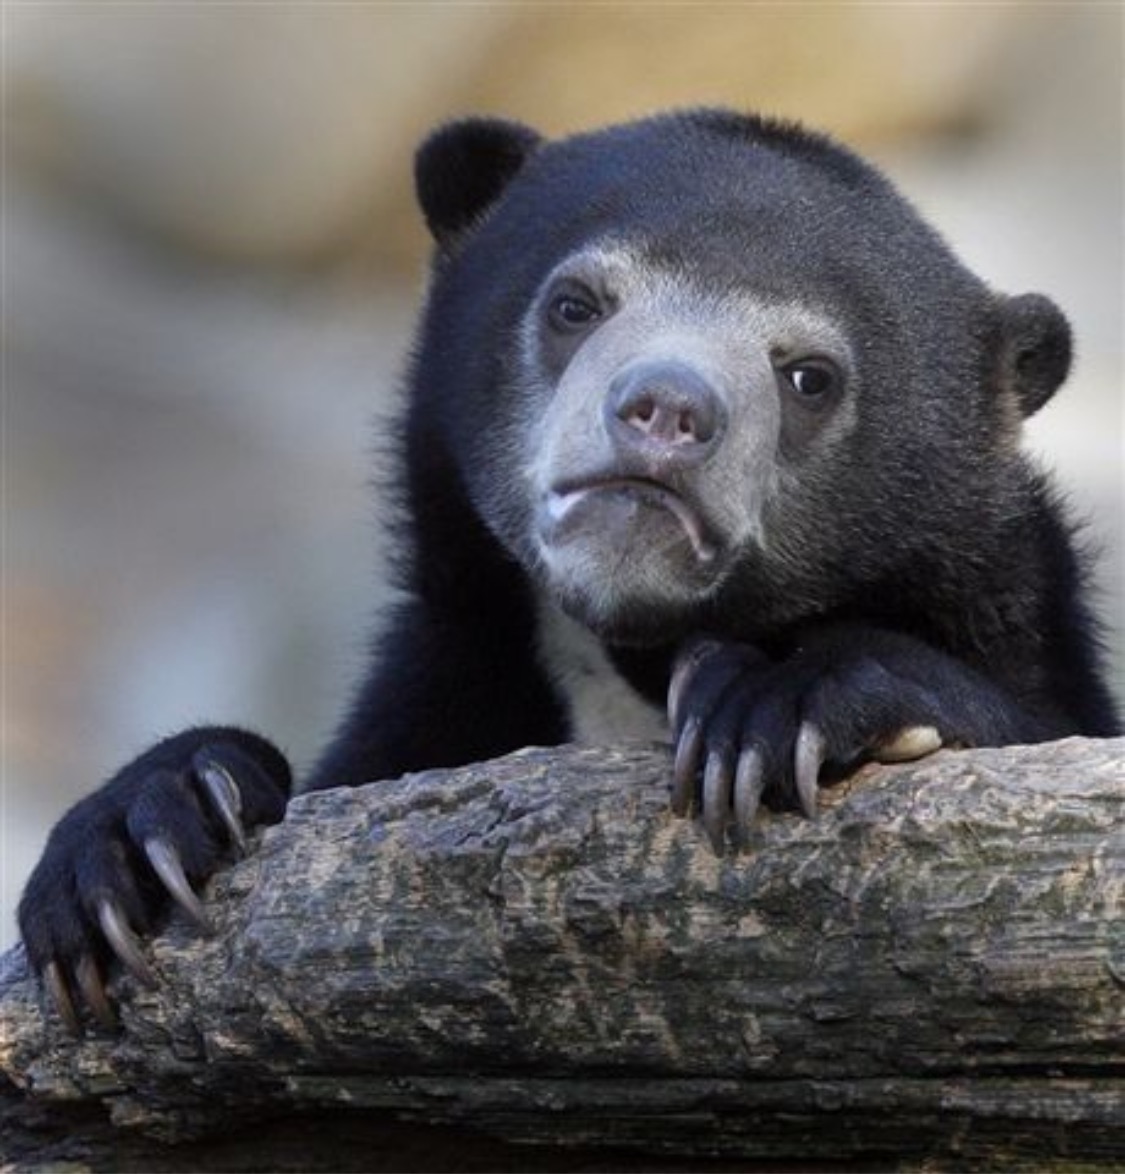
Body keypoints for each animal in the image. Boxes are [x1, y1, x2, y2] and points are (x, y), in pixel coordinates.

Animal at [18, 109, 1120, 1031]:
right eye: (575, 304)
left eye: (809, 376)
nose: (666, 411)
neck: (627, 655)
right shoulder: (455, 676)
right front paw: (138, 840)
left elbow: (1036, 718)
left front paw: (772, 705)